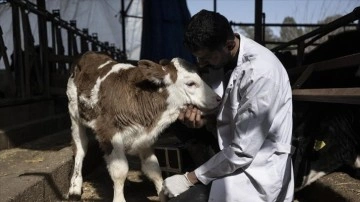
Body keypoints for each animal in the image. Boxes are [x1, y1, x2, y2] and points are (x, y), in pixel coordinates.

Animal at [66, 51, 221, 201]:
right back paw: (74, 189)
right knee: (80, 148)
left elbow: (154, 169)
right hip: (74, 114)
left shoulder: (144, 137)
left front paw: (163, 195)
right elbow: (120, 170)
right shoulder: (109, 132)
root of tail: (89, 54)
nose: (218, 99)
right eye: (190, 83)